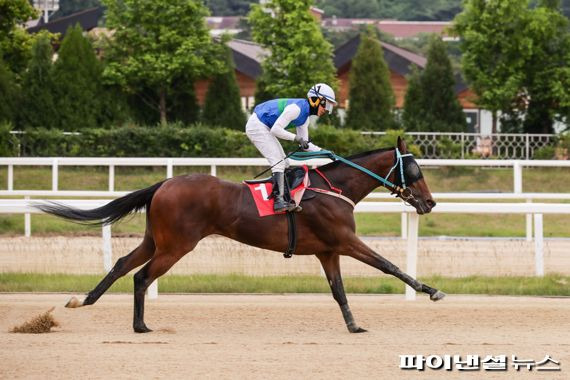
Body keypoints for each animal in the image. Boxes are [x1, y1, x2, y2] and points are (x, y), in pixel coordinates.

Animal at [37, 138, 442, 334]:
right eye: (416, 170)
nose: (430, 202)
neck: (333, 189)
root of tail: (164, 183)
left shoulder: (328, 251)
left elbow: (339, 291)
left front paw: (354, 325)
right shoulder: (344, 241)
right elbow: (389, 266)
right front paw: (431, 290)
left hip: (156, 239)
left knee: (123, 264)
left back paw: (83, 300)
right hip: (177, 245)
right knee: (142, 276)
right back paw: (139, 326)